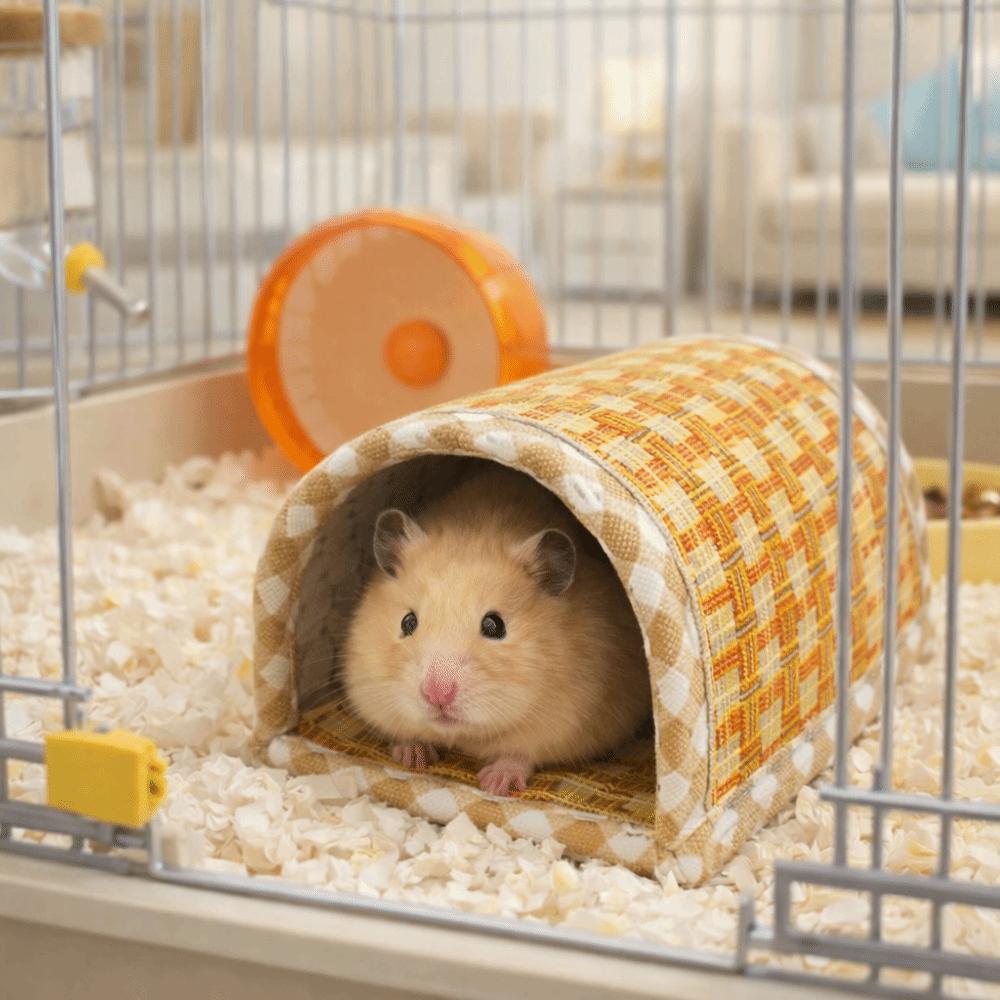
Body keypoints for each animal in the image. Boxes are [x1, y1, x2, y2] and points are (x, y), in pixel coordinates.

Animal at [342, 463, 652, 796]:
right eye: (407, 622)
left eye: (495, 626)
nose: (437, 695)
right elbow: (404, 731)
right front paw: (413, 758)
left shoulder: (564, 720)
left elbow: (520, 753)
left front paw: (494, 784)